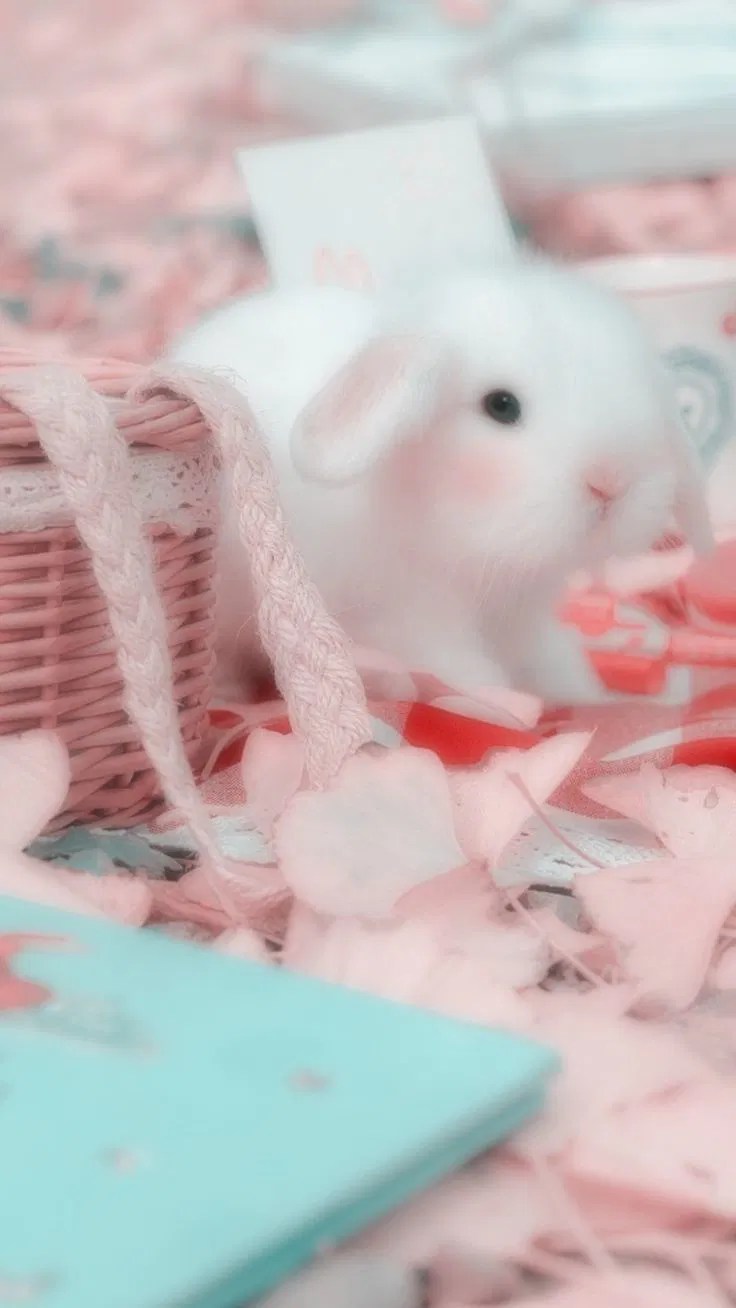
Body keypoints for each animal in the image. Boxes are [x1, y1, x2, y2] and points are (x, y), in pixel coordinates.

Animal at [169, 259, 712, 704]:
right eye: (501, 406)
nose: (610, 482)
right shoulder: (408, 617)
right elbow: (458, 668)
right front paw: (501, 702)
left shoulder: (524, 616)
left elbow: (549, 655)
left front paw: (581, 694)